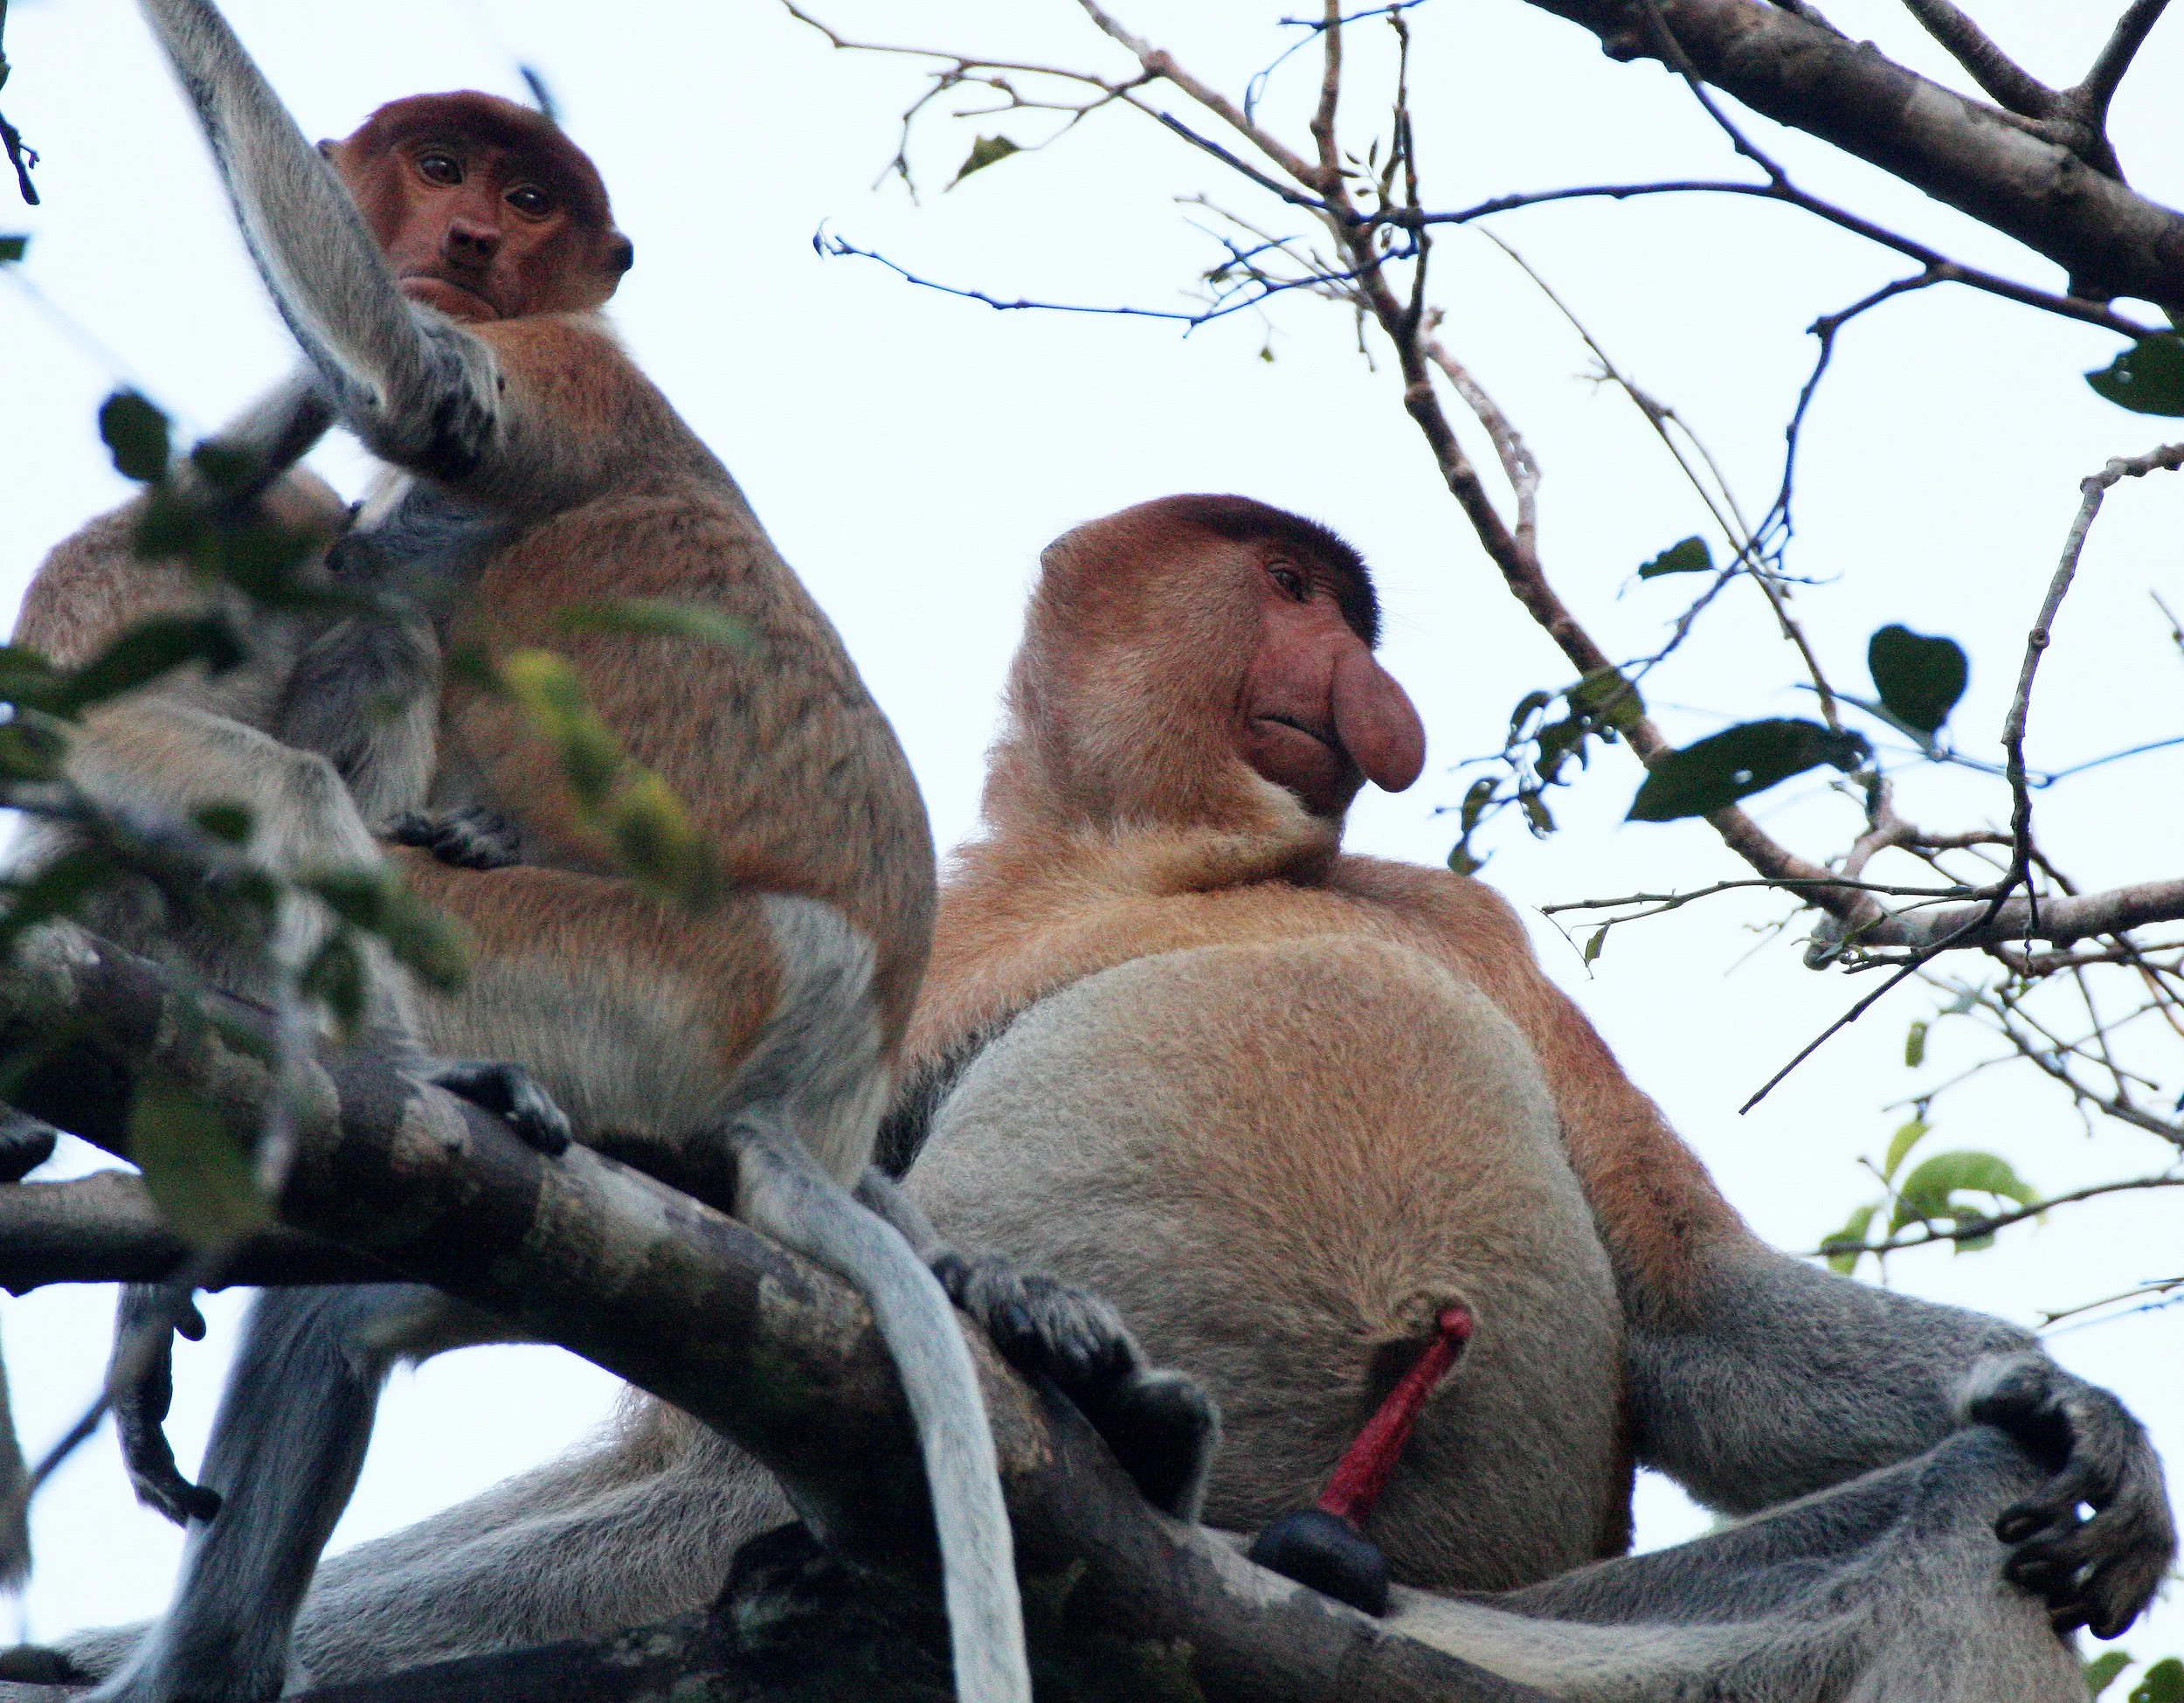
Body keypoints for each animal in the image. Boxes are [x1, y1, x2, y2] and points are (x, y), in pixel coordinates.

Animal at [0, 9, 1206, 1700]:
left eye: (524, 195)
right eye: (442, 164)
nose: (466, 241)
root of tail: (823, 1069)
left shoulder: (569, 373)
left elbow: (420, 398)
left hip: (631, 975)